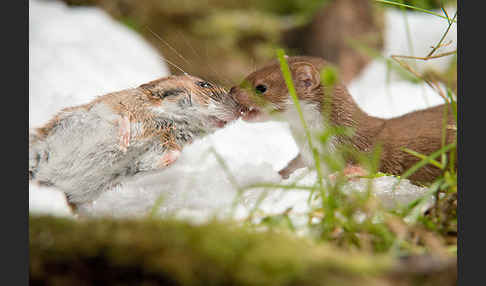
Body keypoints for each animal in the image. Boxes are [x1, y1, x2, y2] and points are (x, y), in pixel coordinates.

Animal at [29, 75, 241, 207]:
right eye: (204, 84)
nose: (240, 109)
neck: (170, 123)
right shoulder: (108, 105)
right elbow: (120, 116)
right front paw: (124, 142)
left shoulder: (164, 145)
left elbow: (170, 155)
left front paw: (142, 162)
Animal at [230, 56, 458, 183]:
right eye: (250, 73)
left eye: (261, 87)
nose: (232, 90)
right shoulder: (305, 158)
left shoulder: (366, 147)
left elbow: (376, 163)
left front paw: (348, 173)